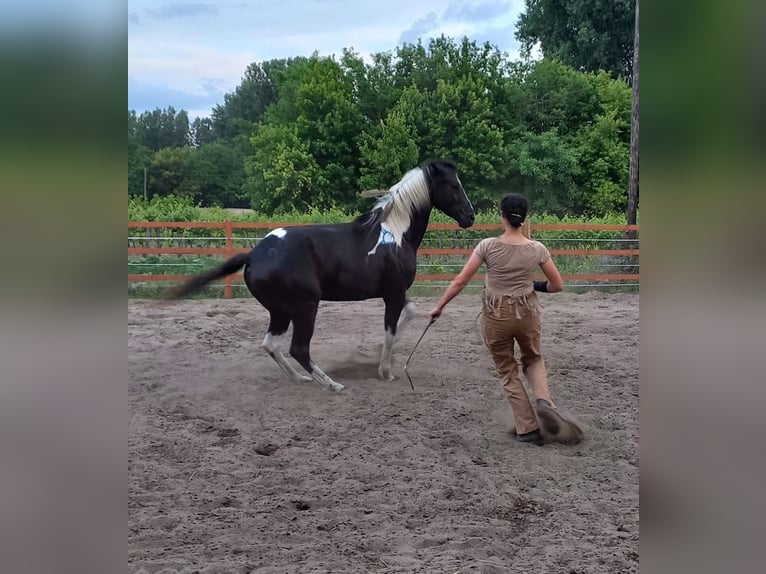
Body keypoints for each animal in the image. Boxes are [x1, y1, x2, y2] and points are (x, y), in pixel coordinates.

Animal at [168, 160, 474, 394]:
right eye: (454, 186)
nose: (470, 217)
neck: (394, 234)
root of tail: (254, 255)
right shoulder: (393, 293)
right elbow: (391, 331)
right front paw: (385, 371)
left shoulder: (397, 293)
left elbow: (407, 316)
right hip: (305, 307)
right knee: (298, 348)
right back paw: (331, 384)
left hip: (280, 311)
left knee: (271, 345)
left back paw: (300, 378)